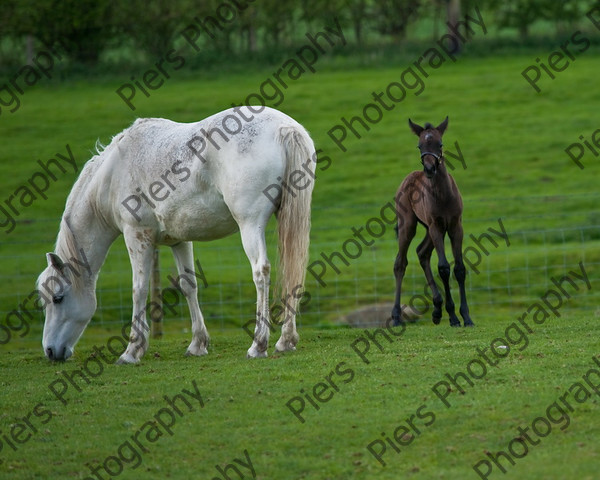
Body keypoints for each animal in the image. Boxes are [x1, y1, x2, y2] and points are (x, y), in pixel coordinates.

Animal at [38, 107, 316, 362]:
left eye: (57, 298)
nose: (50, 351)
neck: (112, 174)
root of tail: (284, 127)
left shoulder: (136, 236)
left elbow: (139, 289)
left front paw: (132, 350)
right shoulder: (180, 240)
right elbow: (188, 285)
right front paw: (197, 344)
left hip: (250, 224)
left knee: (261, 271)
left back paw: (259, 344)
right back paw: (286, 340)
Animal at [394, 116, 474, 328]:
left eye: (440, 144)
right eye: (419, 145)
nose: (429, 169)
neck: (443, 196)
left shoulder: (455, 226)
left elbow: (459, 268)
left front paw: (467, 317)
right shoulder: (436, 226)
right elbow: (444, 268)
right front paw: (453, 317)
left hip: (429, 228)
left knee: (422, 252)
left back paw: (437, 309)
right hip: (409, 225)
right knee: (400, 263)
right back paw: (396, 316)